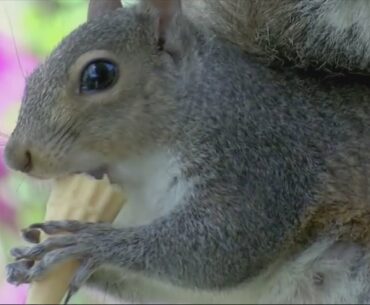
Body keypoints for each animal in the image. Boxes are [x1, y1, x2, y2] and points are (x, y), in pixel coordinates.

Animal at [3, 0, 370, 302]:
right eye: (33, 76)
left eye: (99, 74)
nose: (15, 157)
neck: (142, 170)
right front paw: (29, 256)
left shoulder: (260, 162)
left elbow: (223, 247)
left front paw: (90, 242)